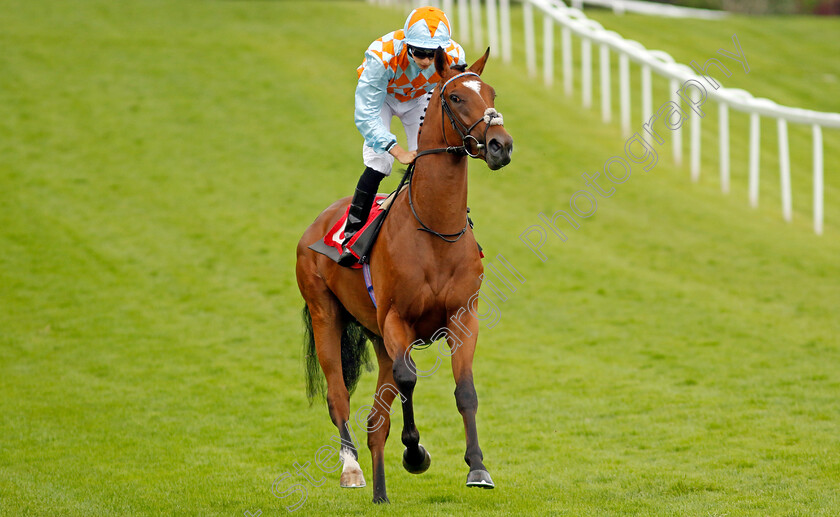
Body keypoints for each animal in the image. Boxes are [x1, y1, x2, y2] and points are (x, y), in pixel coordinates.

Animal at [296, 48, 520, 504]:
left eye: (490, 92)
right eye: (455, 97)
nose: (500, 145)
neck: (435, 230)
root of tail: (318, 223)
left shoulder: (462, 318)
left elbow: (464, 391)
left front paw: (478, 467)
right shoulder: (396, 319)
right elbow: (408, 380)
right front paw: (415, 453)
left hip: (378, 338)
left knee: (375, 422)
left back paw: (381, 492)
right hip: (326, 313)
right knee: (338, 396)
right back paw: (351, 470)